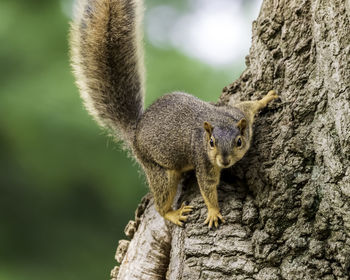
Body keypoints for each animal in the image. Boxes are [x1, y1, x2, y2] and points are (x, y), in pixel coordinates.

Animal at [69, 0, 278, 228]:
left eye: (239, 142)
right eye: (211, 143)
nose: (224, 161)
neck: (219, 120)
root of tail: (135, 133)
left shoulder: (238, 113)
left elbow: (248, 105)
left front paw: (267, 97)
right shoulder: (202, 159)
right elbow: (207, 186)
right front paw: (213, 211)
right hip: (159, 171)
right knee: (161, 200)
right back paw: (172, 213)